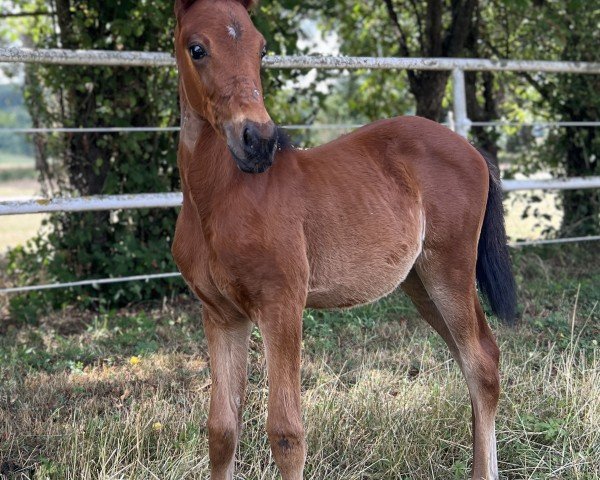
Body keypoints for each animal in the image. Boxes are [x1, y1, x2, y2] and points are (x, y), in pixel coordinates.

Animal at [172, 0, 516, 480]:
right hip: (420, 284)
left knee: (482, 363)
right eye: (197, 48)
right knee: (474, 362)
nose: (258, 142)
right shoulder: (221, 315)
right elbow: (222, 430)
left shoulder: (282, 305)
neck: (221, 197)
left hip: (449, 271)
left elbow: (286, 433)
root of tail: (472, 150)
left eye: (262, 50)